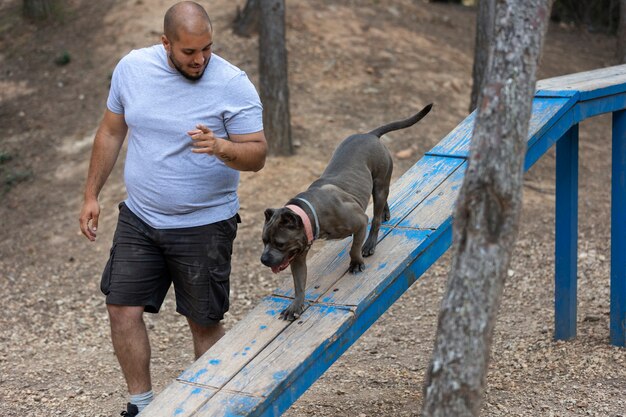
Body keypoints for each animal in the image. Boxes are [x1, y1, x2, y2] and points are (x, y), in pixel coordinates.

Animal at [258, 104, 428, 318]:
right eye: (264, 241)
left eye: (280, 244)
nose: (264, 259)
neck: (311, 213)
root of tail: (370, 134)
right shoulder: (297, 257)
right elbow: (299, 283)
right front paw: (295, 306)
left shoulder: (360, 221)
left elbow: (354, 248)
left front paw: (356, 262)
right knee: (382, 206)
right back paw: (386, 213)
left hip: (379, 184)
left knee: (376, 218)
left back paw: (370, 243)